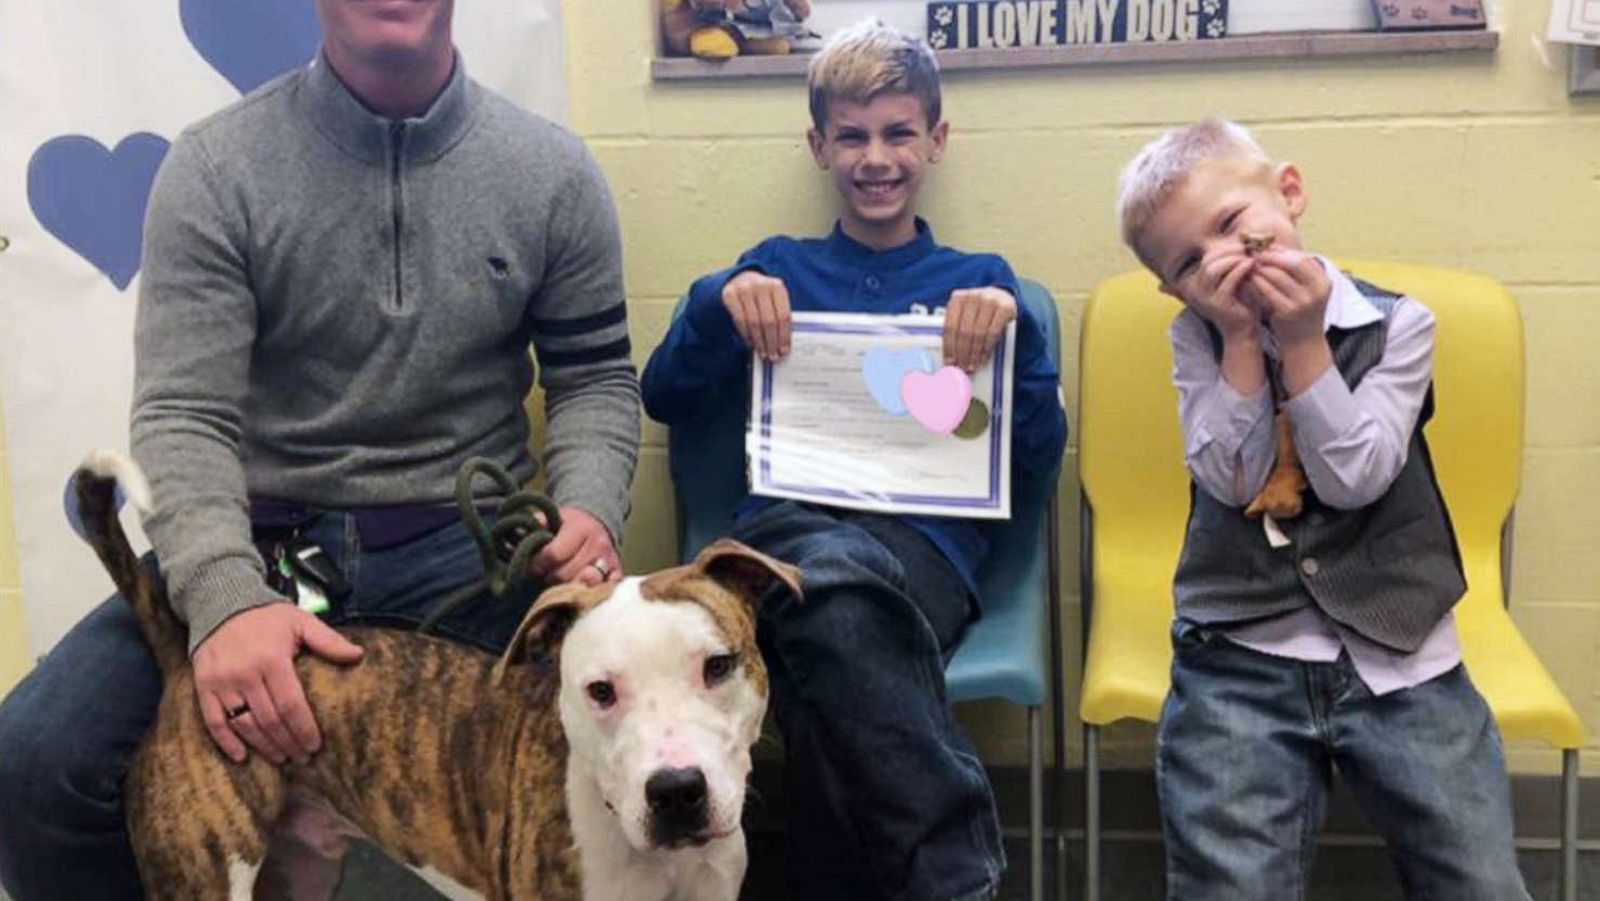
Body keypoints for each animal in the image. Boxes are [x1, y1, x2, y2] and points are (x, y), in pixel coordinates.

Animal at [75, 451, 800, 901]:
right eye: (600, 691)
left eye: (718, 665)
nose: (676, 791)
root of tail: (186, 666)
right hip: (202, 874)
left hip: (299, 868)